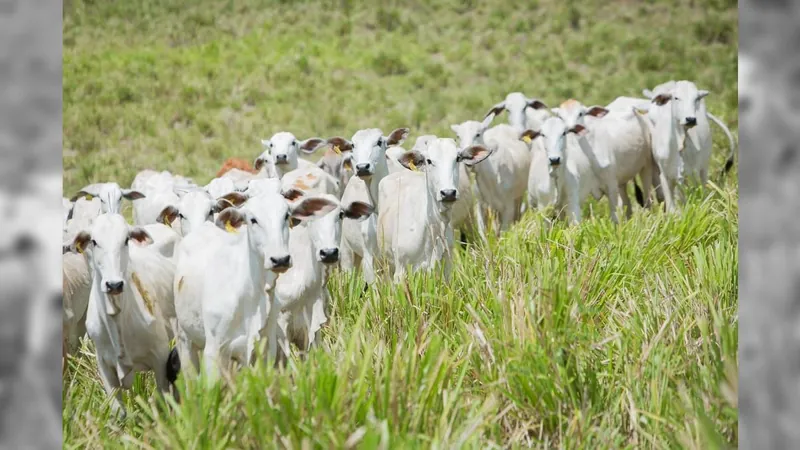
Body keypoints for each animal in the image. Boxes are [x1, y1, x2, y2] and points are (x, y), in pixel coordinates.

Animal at [63, 214, 181, 418]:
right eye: (94, 241)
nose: (114, 284)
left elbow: (162, 402)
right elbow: (118, 412)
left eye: (126, 240)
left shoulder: (160, 357)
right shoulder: (104, 364)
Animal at [172, 190, 338, 380]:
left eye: (286, 215)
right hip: (185, 342)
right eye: (253, 220)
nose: (280, 259)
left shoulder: (265, 352)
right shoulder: (213, 353)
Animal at [376, 138, 494, 282]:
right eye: (429, 160)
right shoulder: (401, 272)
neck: (433, 227)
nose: (448, 193)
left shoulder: (446, 268)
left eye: (457, 158)